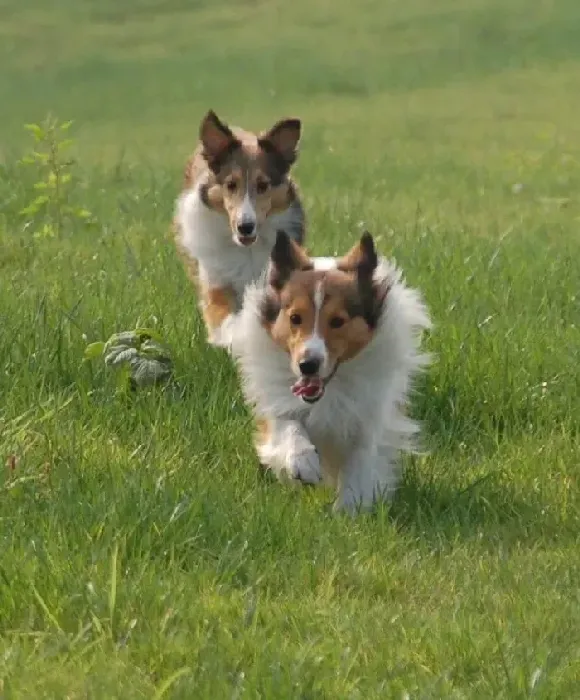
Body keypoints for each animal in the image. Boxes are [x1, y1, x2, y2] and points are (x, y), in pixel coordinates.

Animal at [174, 109, 306, 348]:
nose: (245, 227)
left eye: (263, 185)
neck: (246, 250)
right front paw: (236, 337)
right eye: (230, 184)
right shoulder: (216, 283)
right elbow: (226, 319)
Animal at [231, 232, 430, 512]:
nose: (307, 365)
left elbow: (360, 460)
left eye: (337, 321)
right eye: (295, 318)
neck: (330, 389)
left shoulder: (368, 417)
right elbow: (289, 425)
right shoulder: (278, 402)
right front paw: (303, 462)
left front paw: (349, 509)